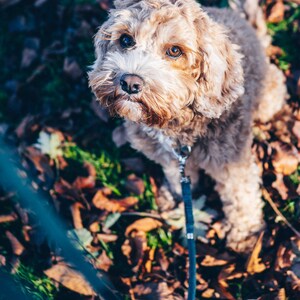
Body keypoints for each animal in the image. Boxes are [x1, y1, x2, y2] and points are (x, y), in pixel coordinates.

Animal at [88, 0, 286, 253]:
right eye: (125, 40)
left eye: (175, 51)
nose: (130, 83)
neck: (177, 126)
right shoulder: (171, 157)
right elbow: (177, 176)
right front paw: (176, 198)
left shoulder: (231, 161)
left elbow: (241, 195)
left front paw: (245, 235)